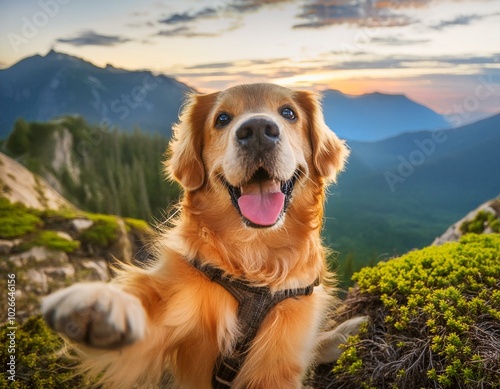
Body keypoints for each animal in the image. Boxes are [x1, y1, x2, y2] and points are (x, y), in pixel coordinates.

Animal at [41, 83, 366, 386]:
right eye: (222, 118)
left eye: (288, 113)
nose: (258, 131)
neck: (255, 263)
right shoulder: (169, 311)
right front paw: (101, 302)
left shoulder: (282, 356)